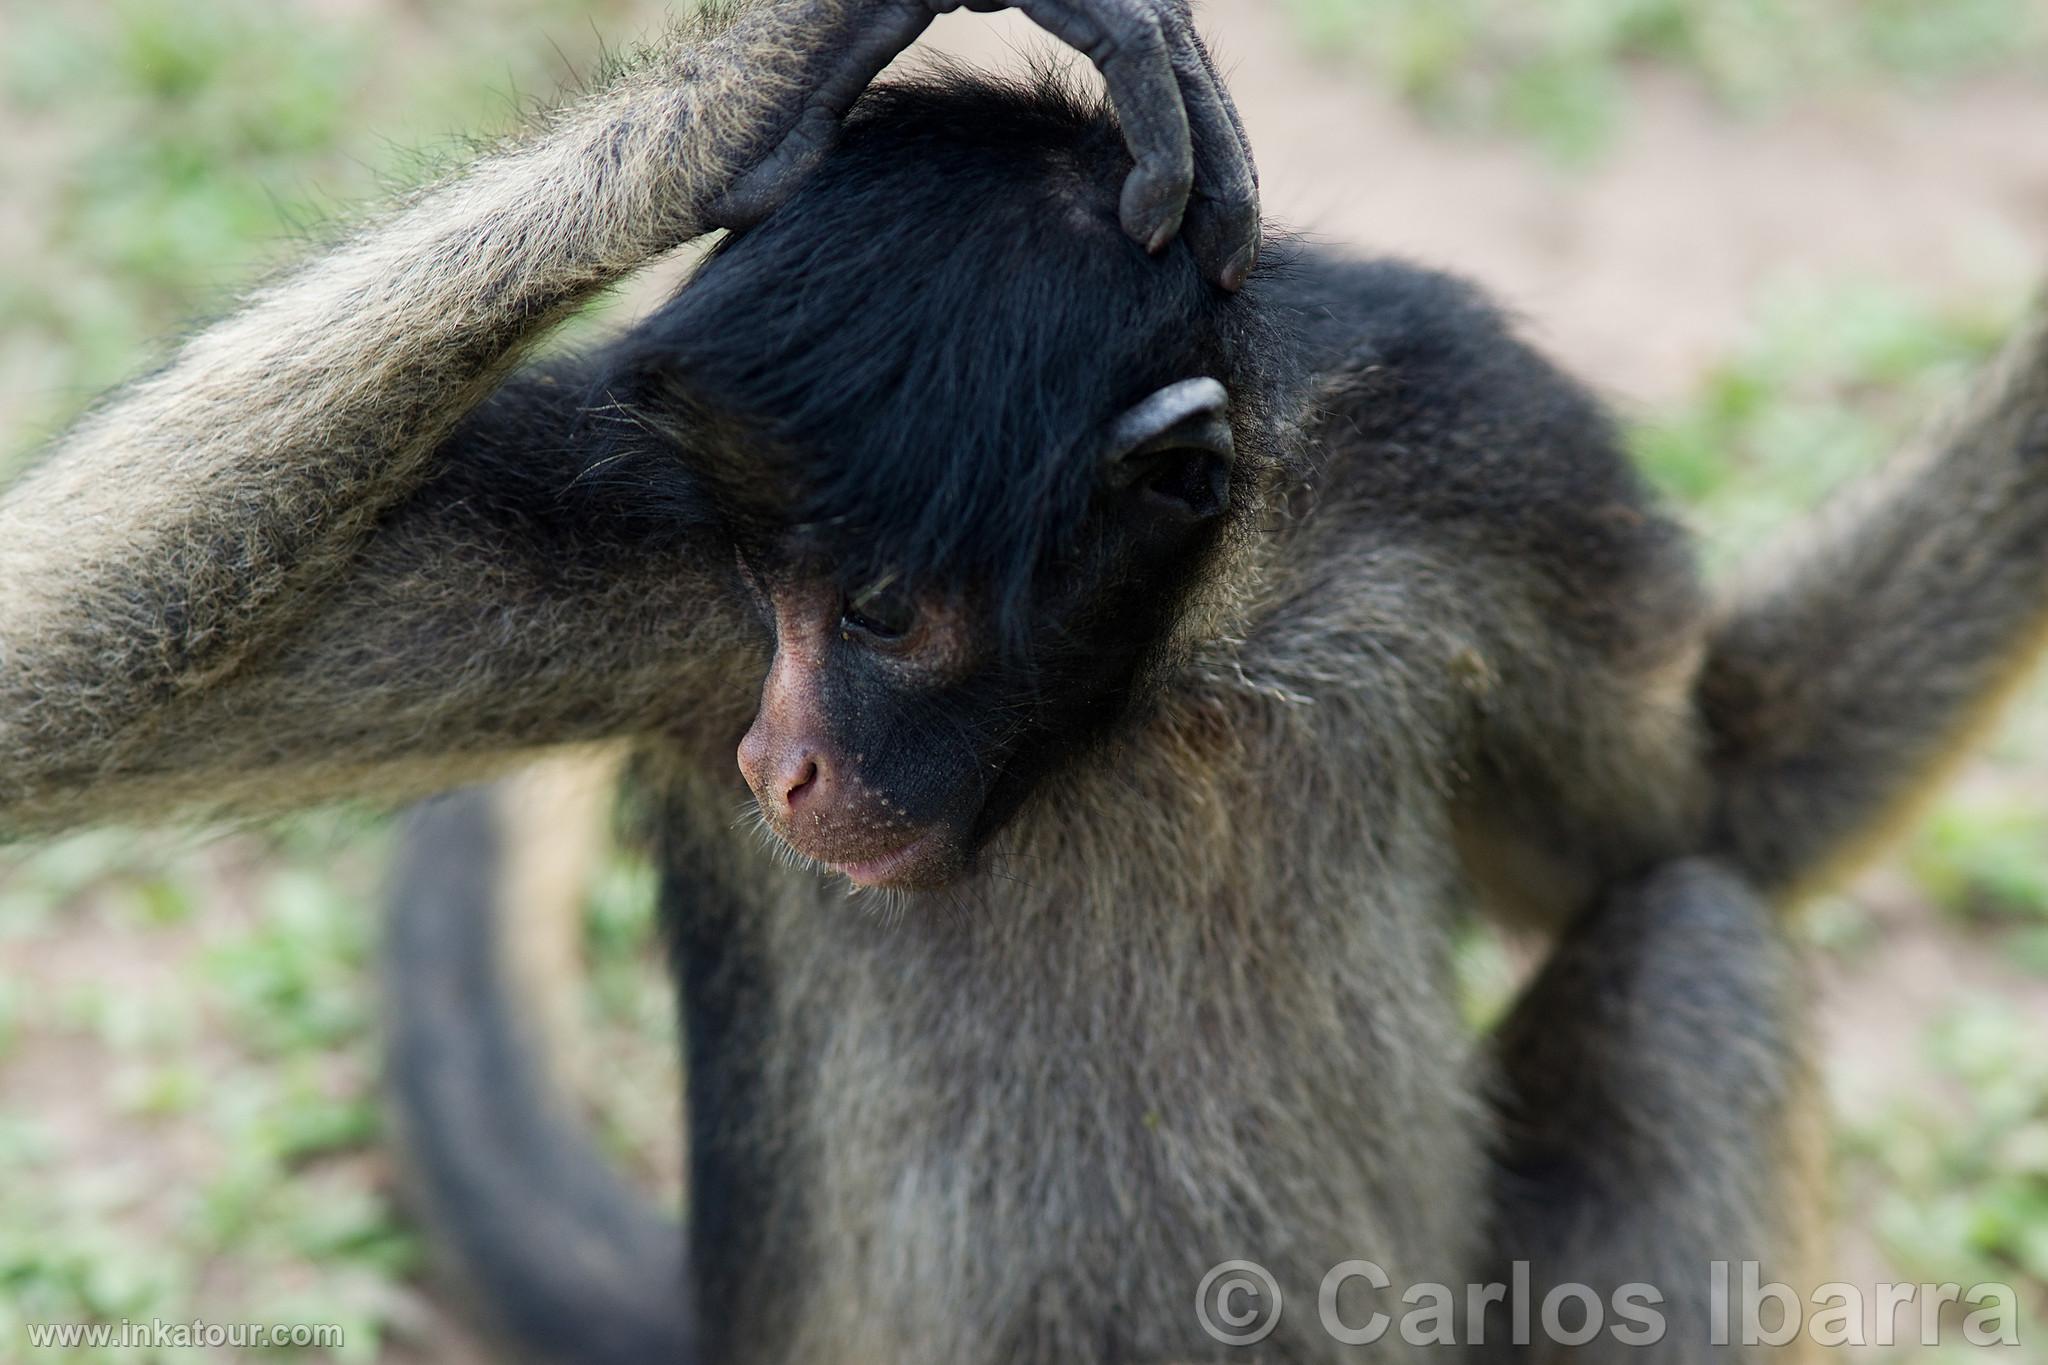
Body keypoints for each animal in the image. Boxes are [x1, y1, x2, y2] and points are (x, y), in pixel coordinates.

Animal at [4, 2, 2048, 1365]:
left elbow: (1731, 810)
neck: (1165, 659)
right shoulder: (646, 532)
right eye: (765, 586)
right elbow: (50, 702)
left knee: (1685, 936)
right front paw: (748, 88)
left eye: (883, 614)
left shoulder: (1473, 446)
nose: (779, 760)